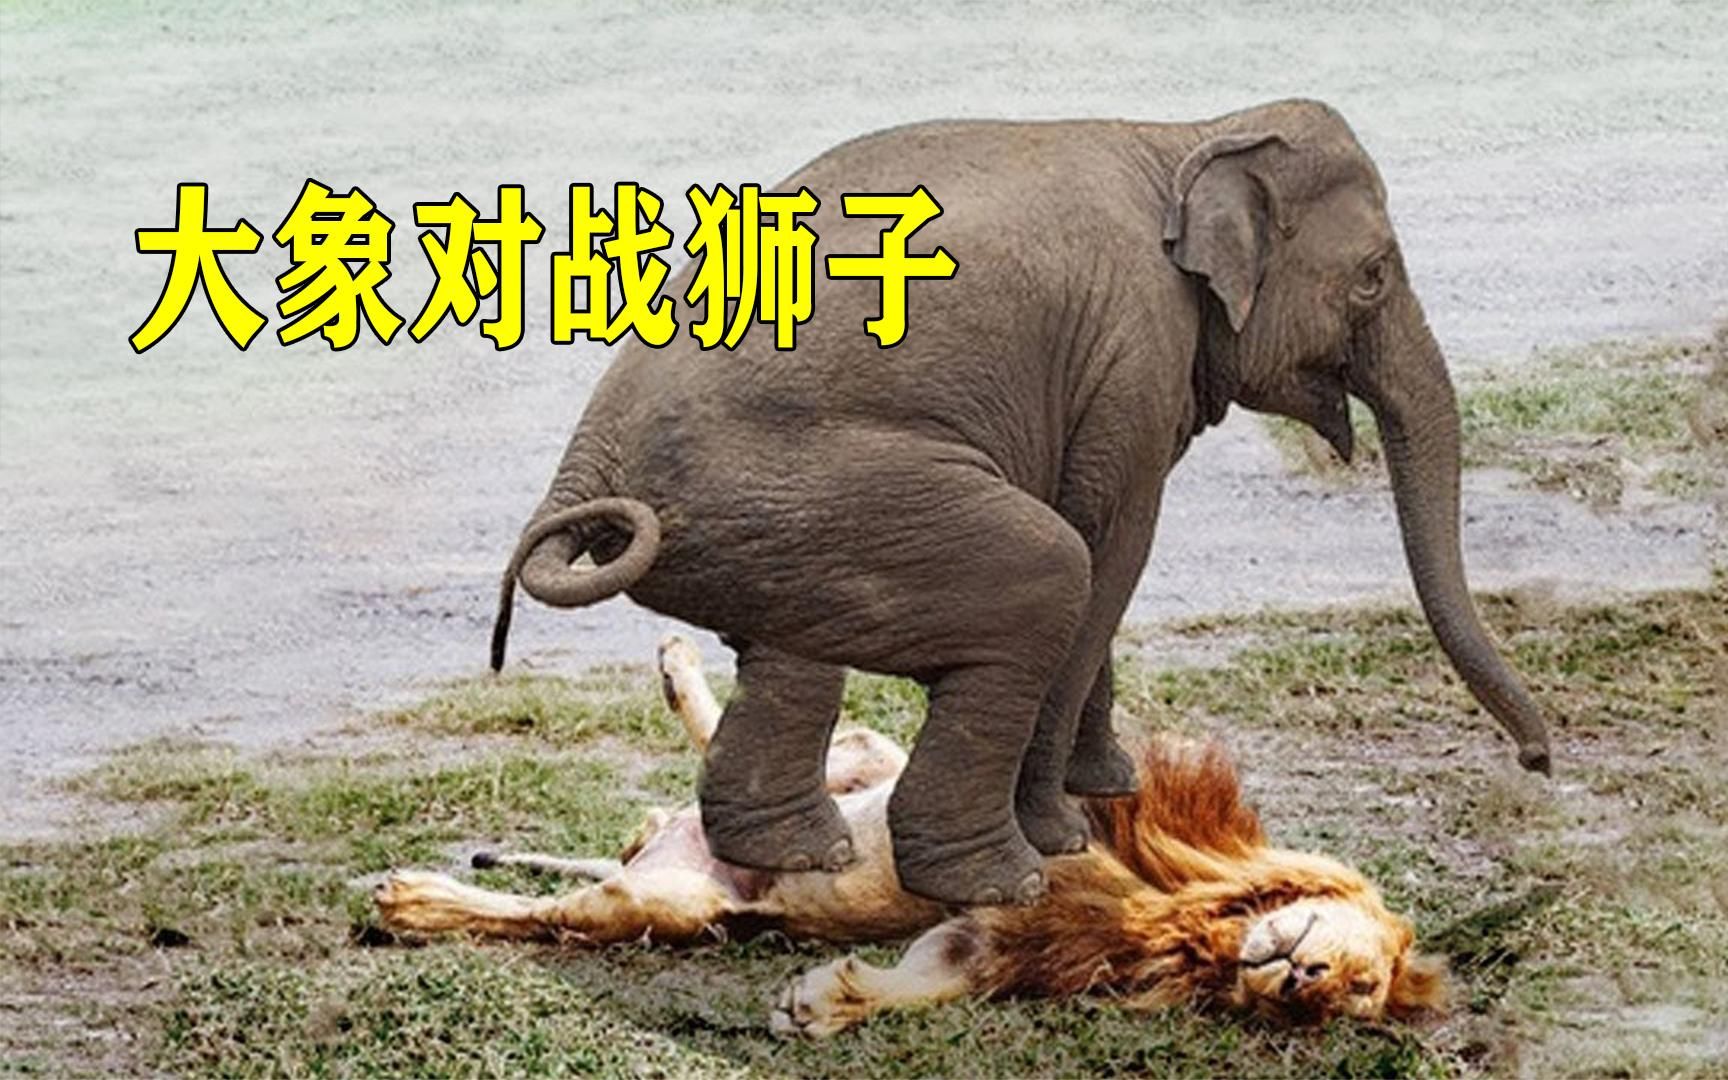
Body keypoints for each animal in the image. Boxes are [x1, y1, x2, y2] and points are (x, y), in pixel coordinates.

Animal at [490, 99, 1553, 908]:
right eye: (1373, 278)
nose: (1541, 763)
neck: (1189, 134)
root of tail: (589, 457)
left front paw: (1109, 786)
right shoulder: (1133, 356)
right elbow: (1109, 546)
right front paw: (1068, 829)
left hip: (770, 524)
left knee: (795, 654)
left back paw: (801, 855)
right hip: (815, 489)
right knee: (1046, 573)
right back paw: (1000, 884)